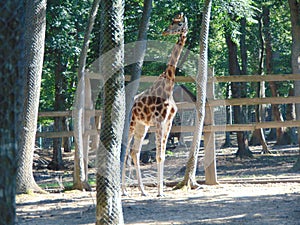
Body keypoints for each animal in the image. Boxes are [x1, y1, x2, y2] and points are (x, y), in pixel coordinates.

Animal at [121, 12, 188, 196]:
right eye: (173, 21)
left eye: (177, 23)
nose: (165, 31)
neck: (169, 85)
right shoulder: (159, 121)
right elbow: (158, 155)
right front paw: (159, 192)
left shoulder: (168, 122)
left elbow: (162, 155)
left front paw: (161, 189)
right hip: (131, 124)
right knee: (125, 152)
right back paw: (124, 191)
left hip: (141, 126)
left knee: (134, 152)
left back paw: (142, 191)